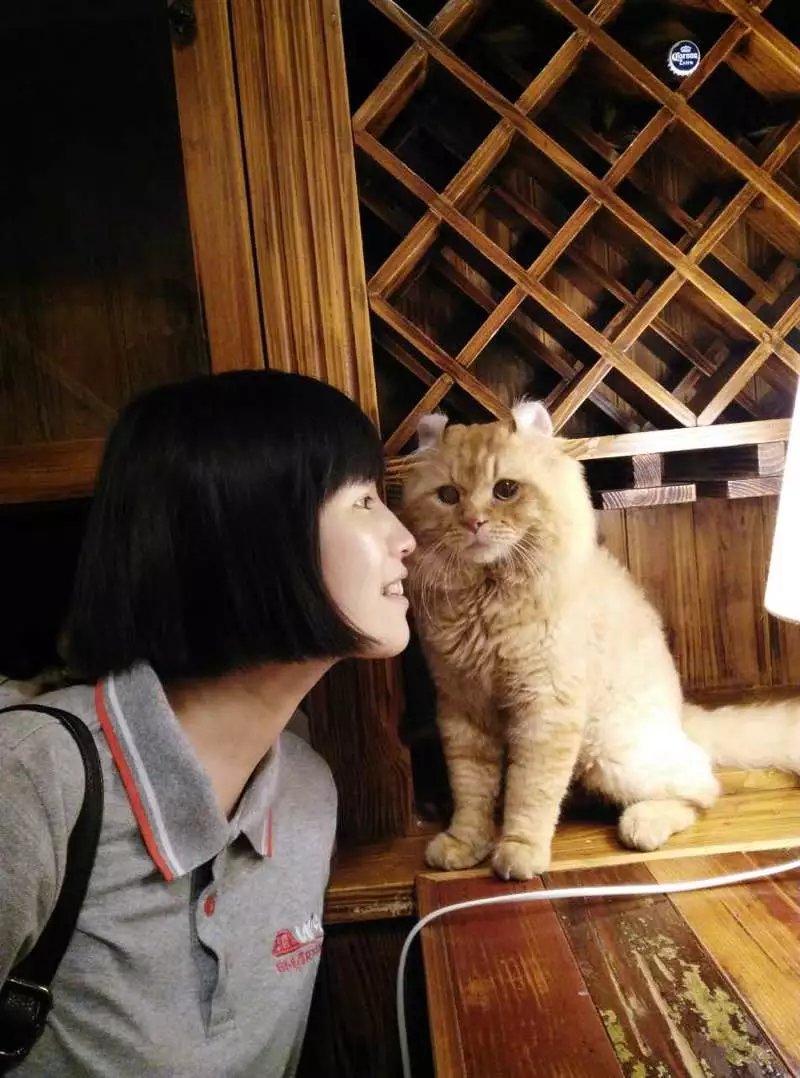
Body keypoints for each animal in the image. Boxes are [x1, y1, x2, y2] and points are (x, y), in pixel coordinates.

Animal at [401, 401, 800, 881]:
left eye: (505, 490)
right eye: (448, 496)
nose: (473, 522)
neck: (487, 599)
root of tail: (680, 714)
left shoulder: (545, 709)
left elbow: (529, 794)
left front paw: (519, 852)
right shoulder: (463, 709)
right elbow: (471, 793)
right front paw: (465, 844)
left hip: (610, 755)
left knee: (703, 784)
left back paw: (641, 825)